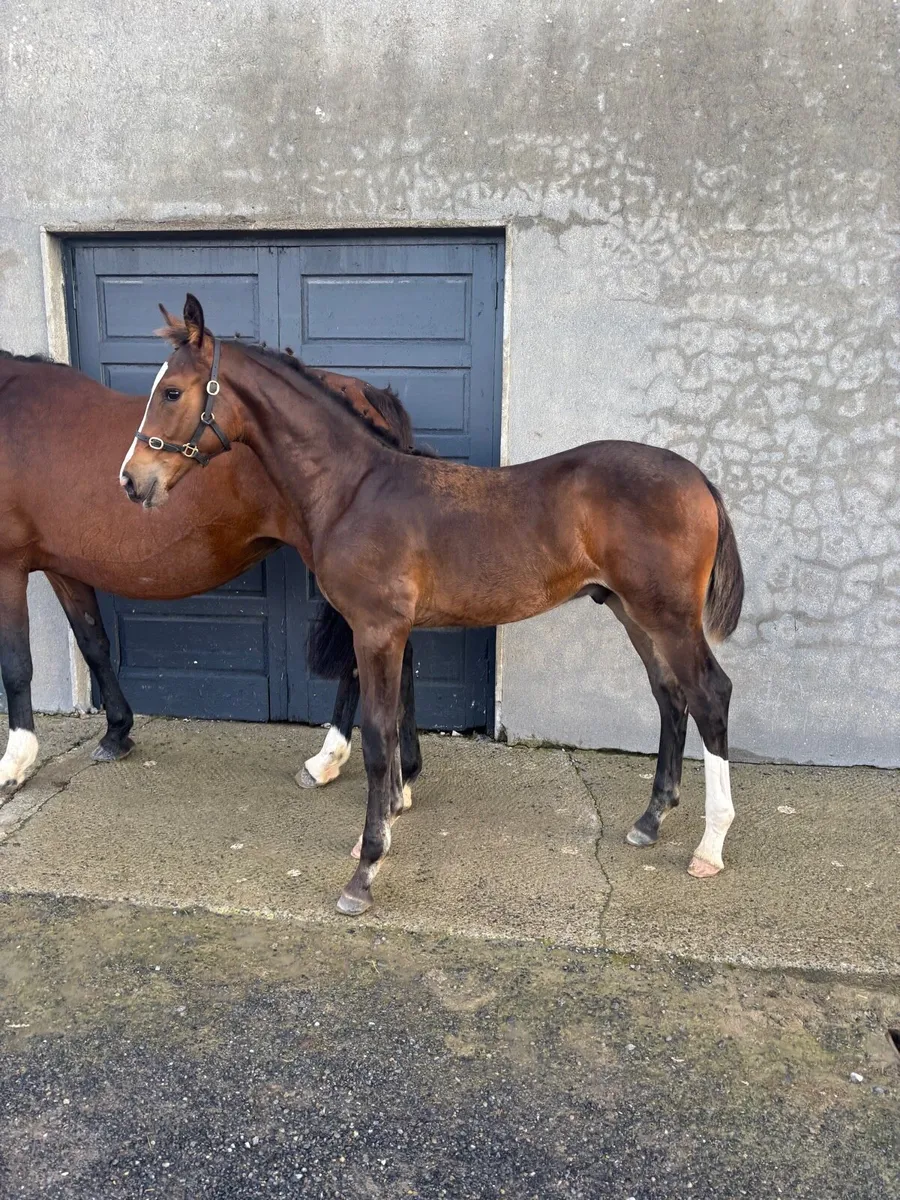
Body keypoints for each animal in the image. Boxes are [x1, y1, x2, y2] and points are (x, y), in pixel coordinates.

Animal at [0, 347, 423, 804]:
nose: (129, 481)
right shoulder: (64, 567)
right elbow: (93, 643)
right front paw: (117, 732)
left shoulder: (9, 566)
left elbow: (16, 664)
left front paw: (14, 762)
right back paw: (399, 773)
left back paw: (330, 759)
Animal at [121, 294, 745, 917]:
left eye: (171, 391)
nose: (132, 480)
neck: (353, 490)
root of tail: (697, 478)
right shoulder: (392, 631)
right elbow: (397, 720)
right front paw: (384, 825)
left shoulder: (376, 630)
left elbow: (378, 738)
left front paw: (365, 872)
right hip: (631, 612)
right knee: (669, 697)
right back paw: (649, 821)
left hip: (668, 617)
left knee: (709, 695)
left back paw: (710, 846)